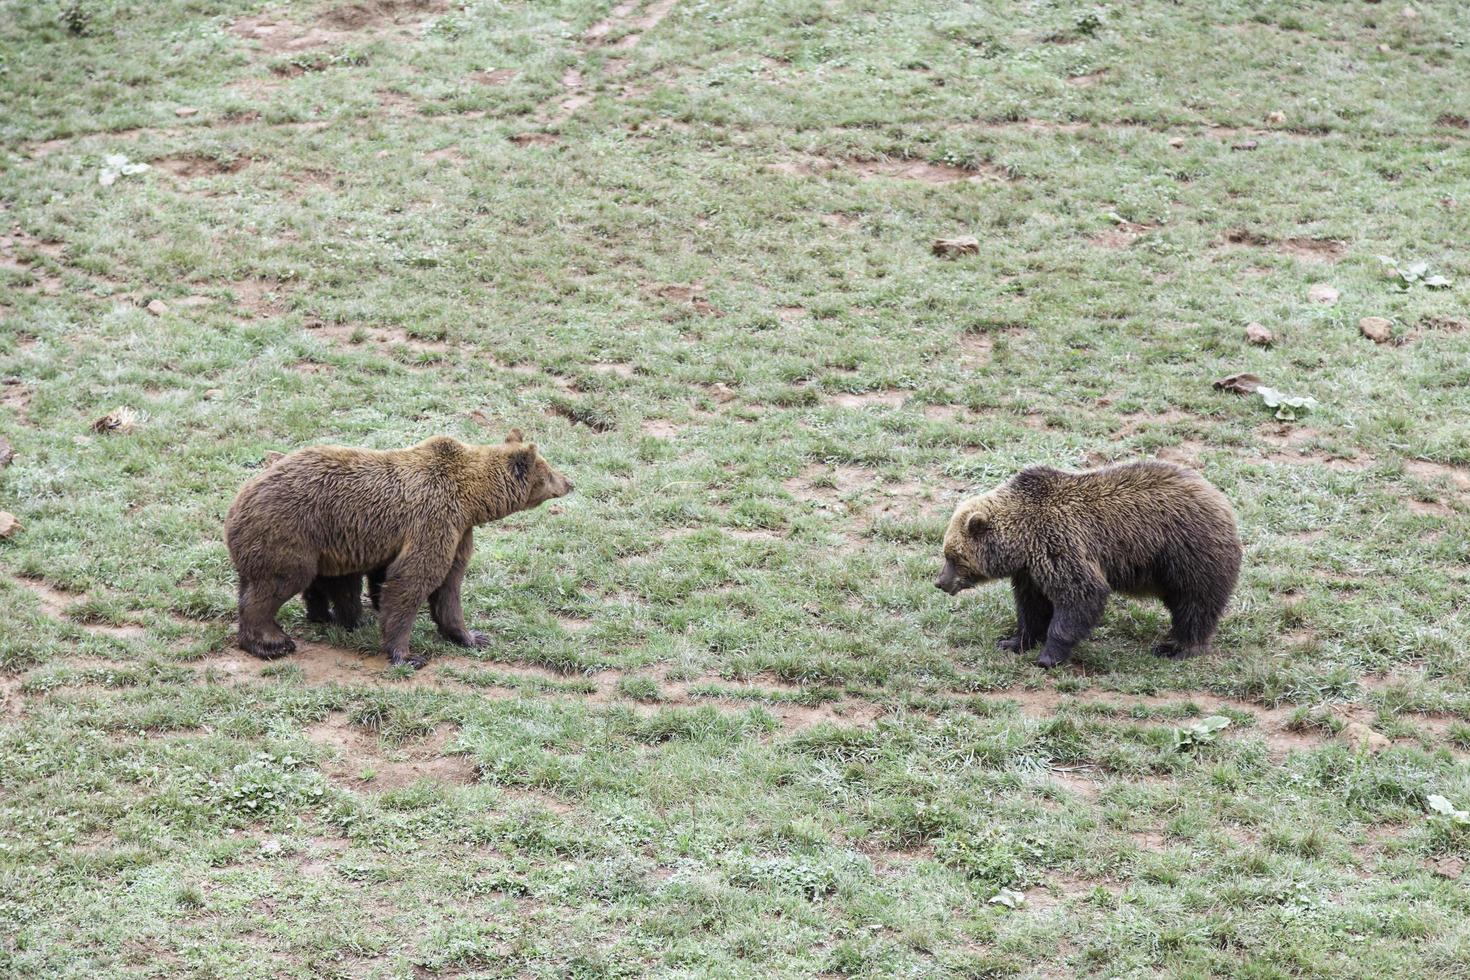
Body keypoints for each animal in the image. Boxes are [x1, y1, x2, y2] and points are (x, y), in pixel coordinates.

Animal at [226, 431, 570, 669]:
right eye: (549, 471)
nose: (569, 482)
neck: (470, 500)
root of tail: (236, 504)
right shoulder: (435, 518)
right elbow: (413, 580)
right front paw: (407, 655)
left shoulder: (459, 531)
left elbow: (448, 586)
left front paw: (473, 637)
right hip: (289, 530)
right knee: (278, 582)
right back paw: (271, 642)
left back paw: (333, 617)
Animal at [934, 464, 1234, 669]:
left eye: (953, 556)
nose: (940, 582)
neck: (1023, 541)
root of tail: (1220, 498)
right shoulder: (1031, 571)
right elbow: (1032, 607)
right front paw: (1012, 641)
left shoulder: (1059, 544)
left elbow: (1081, 595)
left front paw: (1048, 656)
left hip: (1186, 553)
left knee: (1194, 603)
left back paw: (1178, 647)